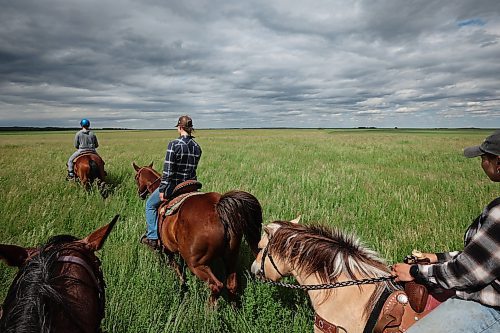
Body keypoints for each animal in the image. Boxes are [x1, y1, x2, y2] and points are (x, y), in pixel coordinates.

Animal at [133, 162, 266, 302]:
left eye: (136, 177)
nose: (140, 193)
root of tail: (219, 209)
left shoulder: (167, 250)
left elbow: (177, 270)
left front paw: (182, 288)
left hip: (196, 264)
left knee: (216, 286)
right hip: (231, 256)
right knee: (232, 284)